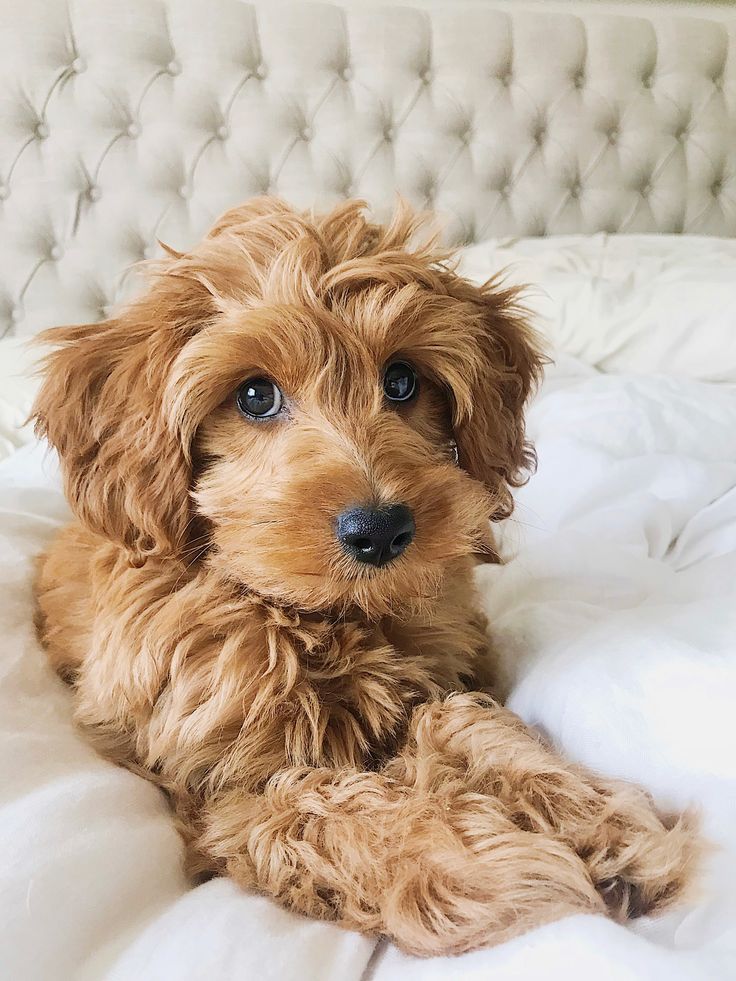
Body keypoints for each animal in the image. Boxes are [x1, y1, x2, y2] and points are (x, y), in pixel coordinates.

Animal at [33, 199, 696, 956]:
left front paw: (595, 820)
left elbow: (459, 720)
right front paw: (504, 869)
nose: (380, 529)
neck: (322, 615)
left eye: (403, 381)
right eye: (255, 395)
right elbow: (336, 815)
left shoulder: (442, 671)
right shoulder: (223, 787)